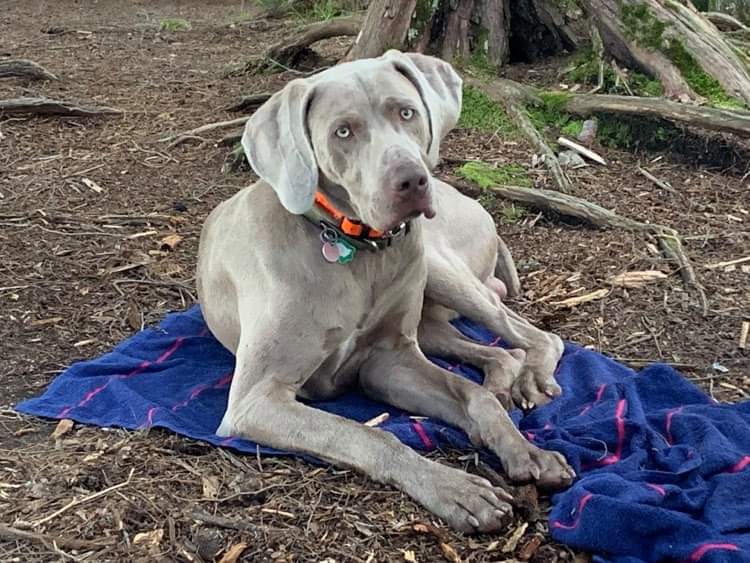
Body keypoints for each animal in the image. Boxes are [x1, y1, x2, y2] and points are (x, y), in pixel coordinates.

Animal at [197, 50, 572, 536]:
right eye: (343, 131)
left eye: (406, 112)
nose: (412, 180)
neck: (355, 249)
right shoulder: (255, 399)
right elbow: (368, 433)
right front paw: (455, 489)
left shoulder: (387, 360)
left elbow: (471, 394)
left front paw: (526, 451)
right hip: (430, 320)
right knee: (501, 352)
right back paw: (507, 383)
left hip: (437, 266)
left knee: (536, 335)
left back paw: (531, 381)